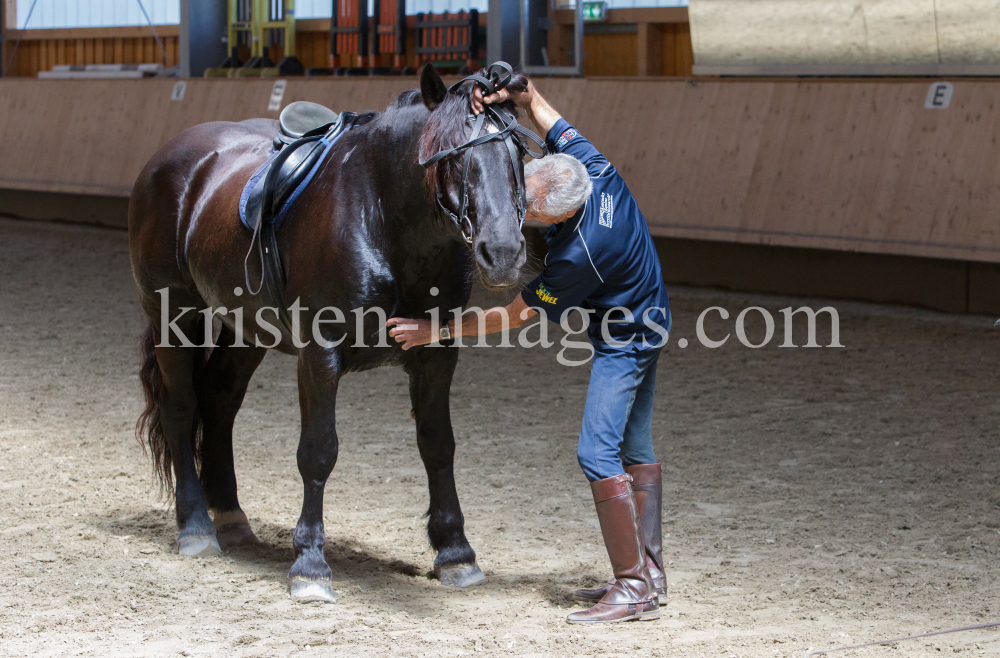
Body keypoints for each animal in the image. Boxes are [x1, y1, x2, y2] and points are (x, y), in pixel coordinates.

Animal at [130, 65, 536, 600]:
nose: (504, 252)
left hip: (246, 328)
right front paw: (309, 564)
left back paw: (231, 517)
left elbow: (438, 444)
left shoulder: (436, 354)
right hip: (173, 312)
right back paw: (195, 526)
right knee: (181, 407)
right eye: (452, 155)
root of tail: (169, 156)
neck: (383, 216)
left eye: (516, 154)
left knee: (219, 402)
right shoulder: (319, 355)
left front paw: (455, 553)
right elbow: (318, 452)